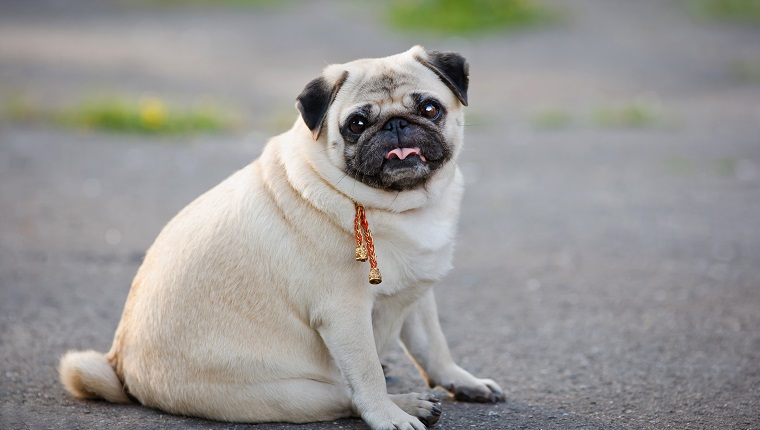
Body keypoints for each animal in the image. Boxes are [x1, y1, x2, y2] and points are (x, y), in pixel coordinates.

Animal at [60, 47, 504, 430]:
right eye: (357, 125)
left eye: (430, 109)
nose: (396, 124)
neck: (403, 206)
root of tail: (121, 368)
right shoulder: (344, 313)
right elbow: (365, 376)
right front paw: (388, 415)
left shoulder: (417, 292)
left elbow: (433, 345)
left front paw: (462, 380)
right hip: (288, 393)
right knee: (344, 393)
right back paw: (408, 403)